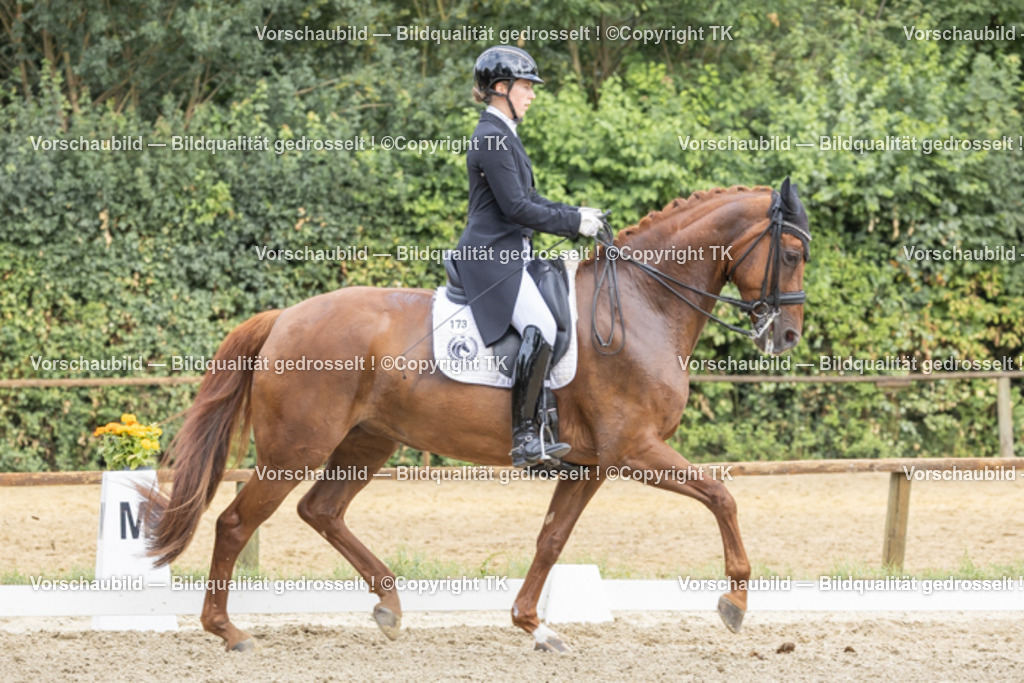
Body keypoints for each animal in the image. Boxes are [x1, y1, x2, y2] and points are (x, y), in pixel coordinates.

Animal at [143, 179, 811, 652]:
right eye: (792, 253)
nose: (787, 336)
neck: (643, 304)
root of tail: (284, 316)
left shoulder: (590, 464)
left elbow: (551, 538)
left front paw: (534, 625)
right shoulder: (633, 449)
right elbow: (722, 496)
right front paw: (735, 603)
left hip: (366, 442)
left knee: (321, 511)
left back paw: (389, 606)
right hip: (296, 448)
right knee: (235, 522)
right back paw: (229, 632)